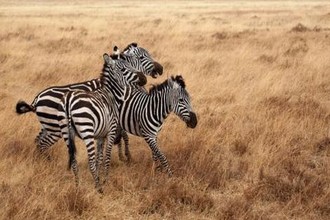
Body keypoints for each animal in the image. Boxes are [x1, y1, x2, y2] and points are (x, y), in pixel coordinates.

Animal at [15, 43, 162, 160]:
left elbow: (120, 136)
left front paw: (121, 156)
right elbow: (124, 136)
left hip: (48, 125)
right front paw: (126, 156)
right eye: (141, 57)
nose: (160, 69)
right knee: (42, 144)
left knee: (38, 141)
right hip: (54, 128)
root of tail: (36, 99)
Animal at [58, 53, 143, 192]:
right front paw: (104, 180)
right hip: (87, 130)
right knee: (90, 162)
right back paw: (99, 188)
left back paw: (78, 186)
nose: (143, 78)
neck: (111, 95)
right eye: (123, 69)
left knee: (74, 161)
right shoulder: (111, 131)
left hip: (65, 131)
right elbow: (106, 158)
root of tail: (69, 99)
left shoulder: (100, 135)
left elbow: (99, 158)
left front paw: (98, 177)